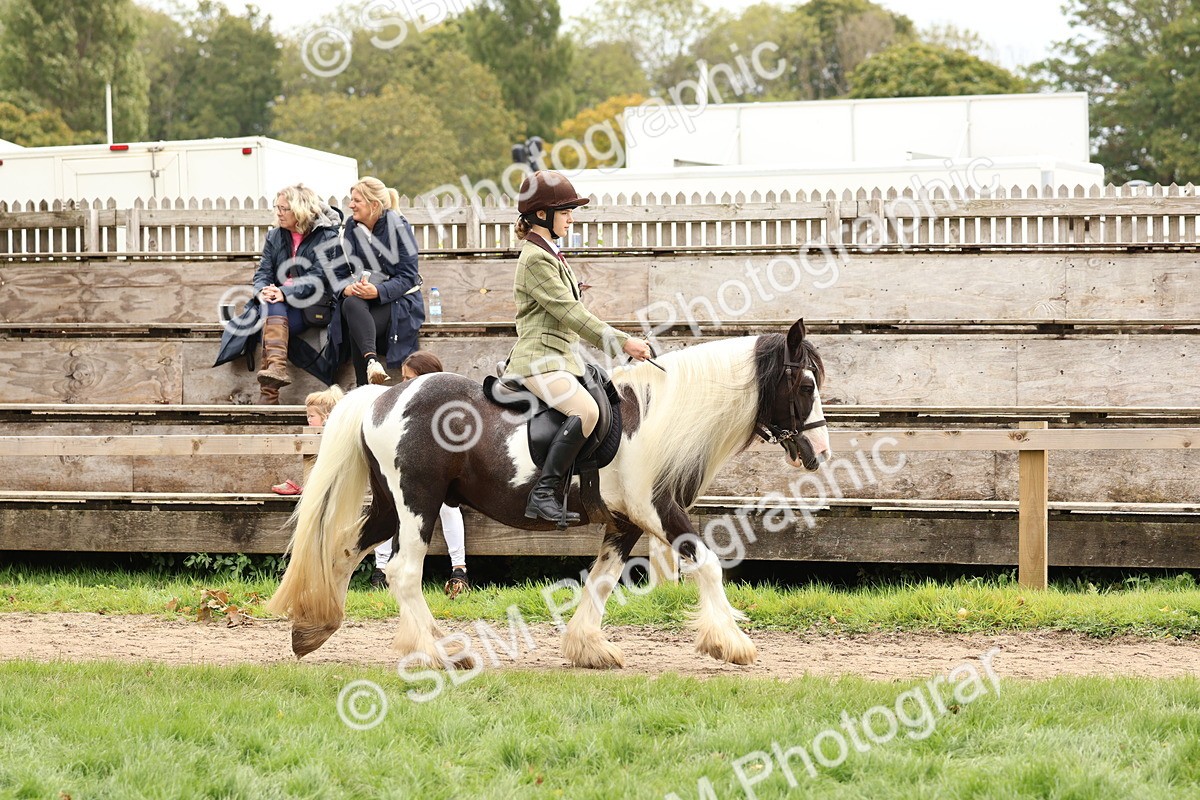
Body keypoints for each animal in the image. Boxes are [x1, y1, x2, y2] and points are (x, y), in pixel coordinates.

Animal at [265, 318, 831, 669]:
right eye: (805, 385)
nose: (821, 453)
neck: (653, 419)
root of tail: (382, 396)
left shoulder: (624, 522)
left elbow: (602, 581)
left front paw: (588, 648)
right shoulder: (656, 510)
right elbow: (708, 565)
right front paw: (732, 644)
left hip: (390, 505)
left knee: (346, 551)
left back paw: (315, 629)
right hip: (417, 504)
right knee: (403, 572)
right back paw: (438, 652)